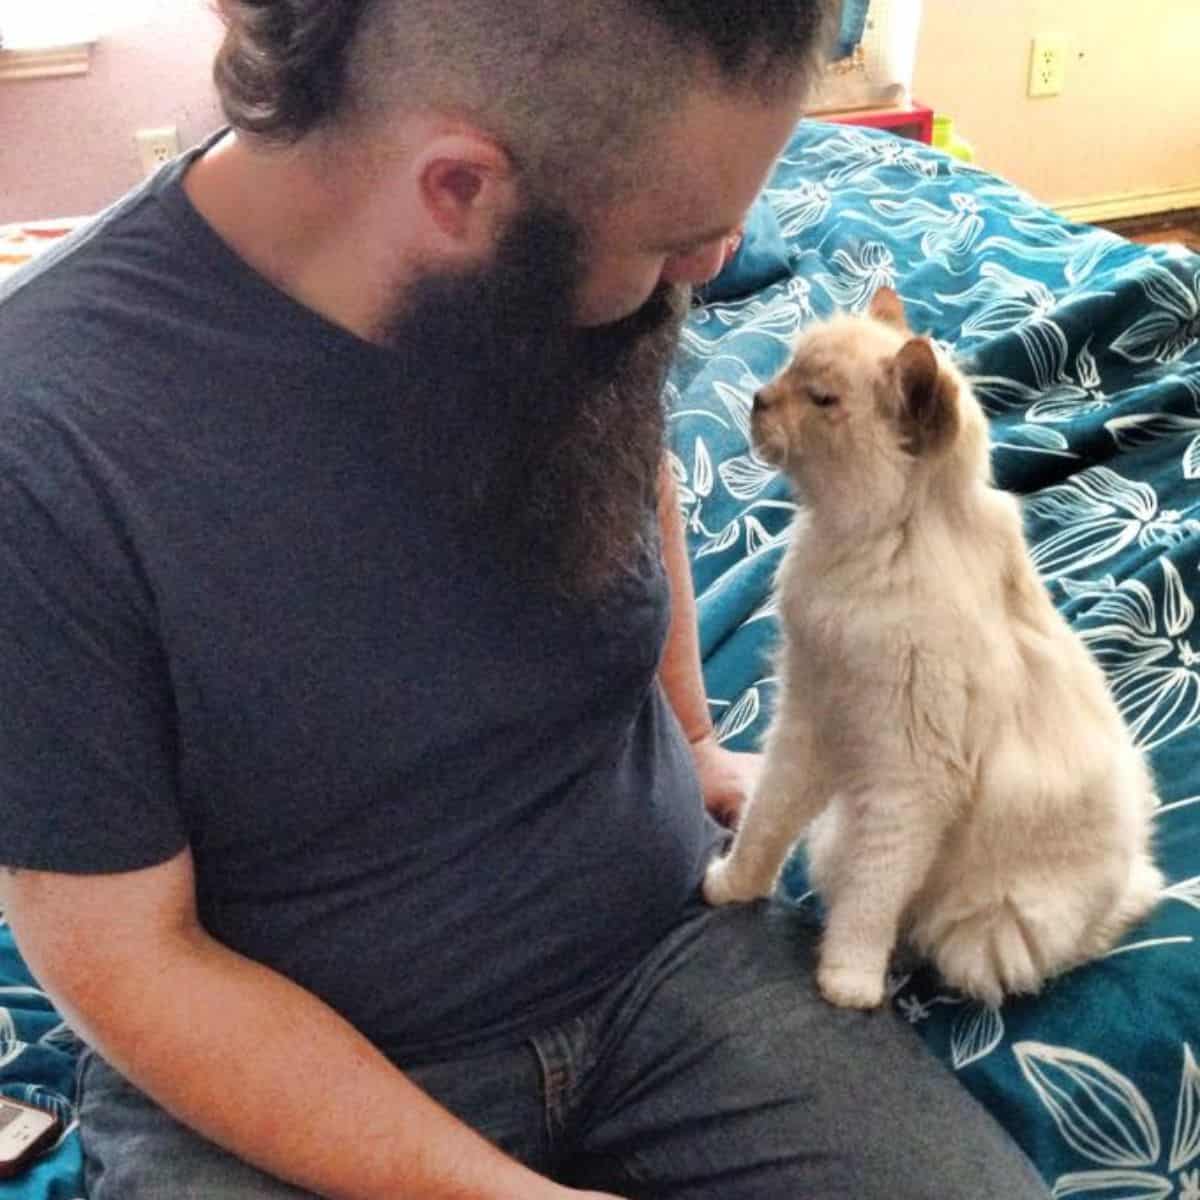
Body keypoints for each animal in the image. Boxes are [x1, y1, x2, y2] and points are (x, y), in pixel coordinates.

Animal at [700, 285, 1161, 1008]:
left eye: (821, 399)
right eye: (788, 371)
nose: (757, 399)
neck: (865, 545)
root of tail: (1130, 865)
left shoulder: (909, 779)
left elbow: (871, 898)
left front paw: (848, 985)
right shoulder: (810, 719)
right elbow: (764, 824)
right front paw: (730, 887)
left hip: (982, 936)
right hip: (836, 835)